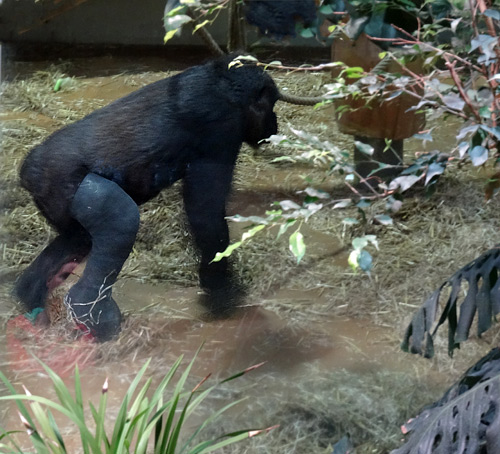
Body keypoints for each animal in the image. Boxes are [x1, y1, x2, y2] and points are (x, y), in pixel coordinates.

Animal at [15, 54, 280, 340]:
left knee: (77, 239)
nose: (275, 122)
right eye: (271, 105)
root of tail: (27, 170)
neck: (225, 85)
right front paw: (221, 289)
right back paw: (90, 311)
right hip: (62, 183)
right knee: (120, 222)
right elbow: (205, 214)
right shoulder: (223, 129)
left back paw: (34, 298)